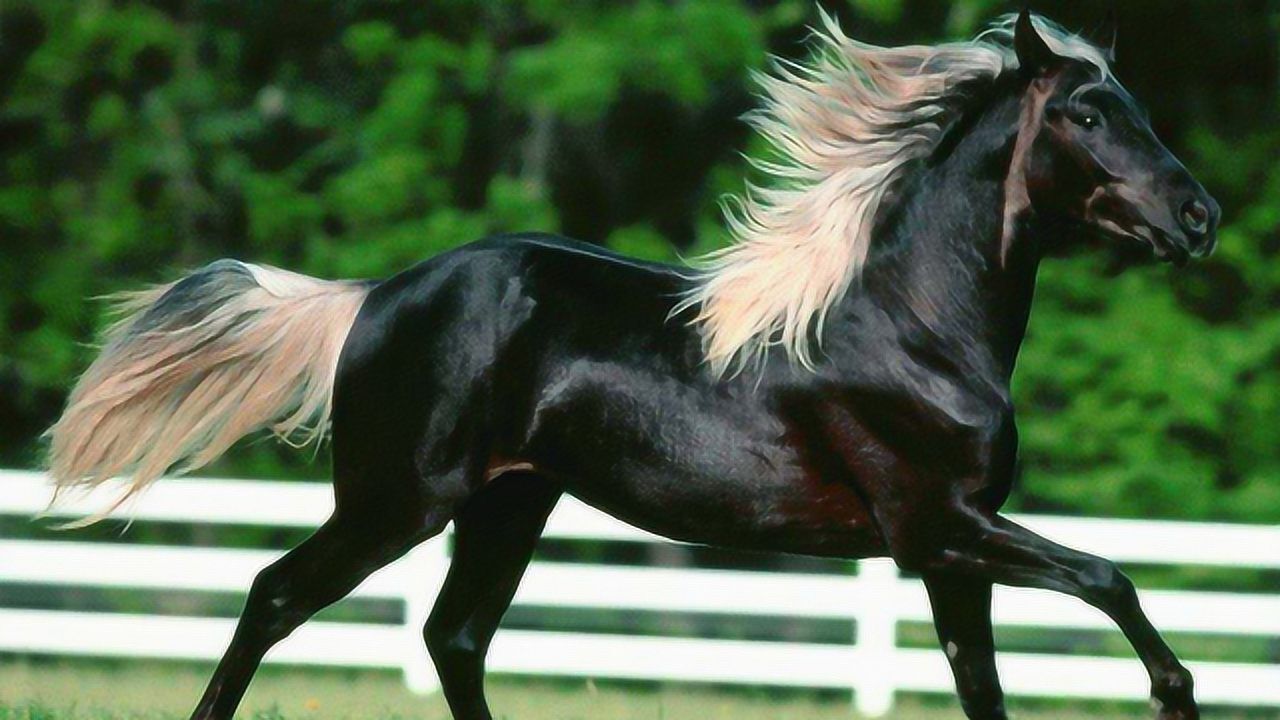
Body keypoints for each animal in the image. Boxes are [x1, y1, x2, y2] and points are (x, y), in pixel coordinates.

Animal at [44, 10, 1220, 720]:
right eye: (1085, 112)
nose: (1198, 218)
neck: (915, 328)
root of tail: (373, 297)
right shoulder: (938, 525)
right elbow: (1108, 577)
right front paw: (1173, 691)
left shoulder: (948, 551)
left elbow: (983, 683)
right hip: (396, 502)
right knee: (277, 595)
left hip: (507, 505)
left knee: (453, 635)